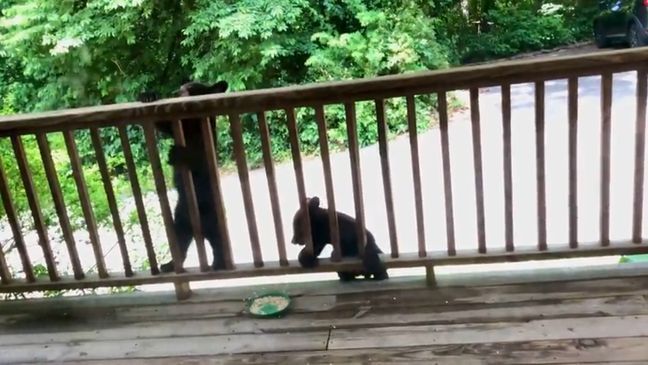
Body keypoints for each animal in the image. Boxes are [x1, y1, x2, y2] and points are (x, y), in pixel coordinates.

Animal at [139, 80, 228, 272]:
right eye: (181, 87)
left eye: (189, 89)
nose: (175, 92)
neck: (191, 124)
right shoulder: (178, 126)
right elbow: (163, 124)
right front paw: (148, 96)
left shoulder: (204, 143)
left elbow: (198, 159)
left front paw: (177, 154)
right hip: (180, 220)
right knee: (181, 242)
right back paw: (169, 265)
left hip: (211, 216)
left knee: (218, 241)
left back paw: (219, 263)